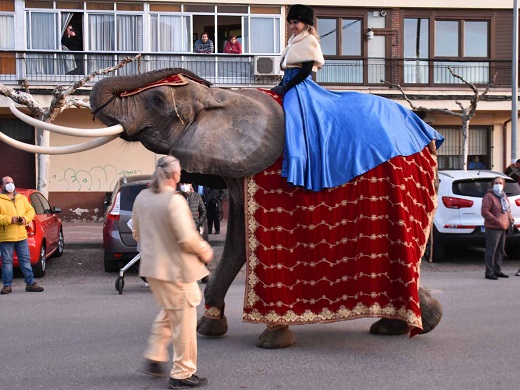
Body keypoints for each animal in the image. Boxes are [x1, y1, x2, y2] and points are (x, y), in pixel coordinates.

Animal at [3, 67, 442, 348]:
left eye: (158, 99)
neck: (227, 98)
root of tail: (427, 131)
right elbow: (235, 243)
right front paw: (206, 329)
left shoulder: (271, 179)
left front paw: (272, 338)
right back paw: (410, 322)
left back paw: (410, 322)